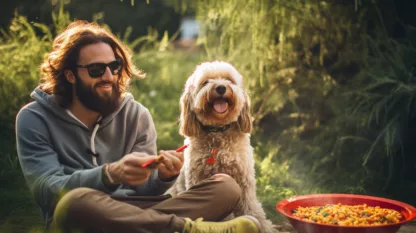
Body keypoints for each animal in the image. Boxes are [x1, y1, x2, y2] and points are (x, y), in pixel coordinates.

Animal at [167, 61, 278, 232]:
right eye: (205, 82)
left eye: (229, 80)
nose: (220, 88)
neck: (218, 134)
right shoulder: (197, 178)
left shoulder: (244, 180)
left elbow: (252, 208)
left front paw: (262, 225)